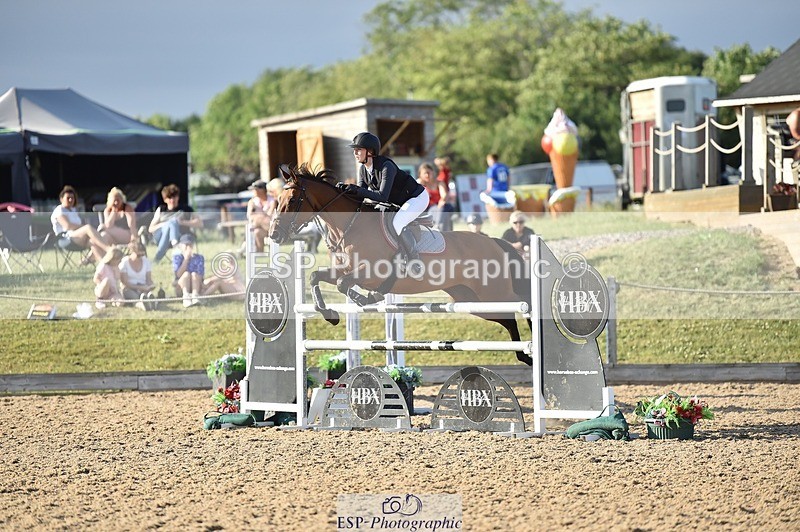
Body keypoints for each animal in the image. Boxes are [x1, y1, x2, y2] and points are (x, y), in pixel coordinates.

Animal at [269, 164, 533, 365]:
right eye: (277, 199)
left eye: (292, 200)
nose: (274, 235)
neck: (350, 226)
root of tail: (493, 242)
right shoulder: (344, 270)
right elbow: (317, 277)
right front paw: (330, 315)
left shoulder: (370, 272)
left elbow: (345, 284)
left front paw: (367, 298)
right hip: (473, 300)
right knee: (508, 319)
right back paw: (524, 355)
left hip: (494, 293)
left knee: (525, 303)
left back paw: (531, 352)